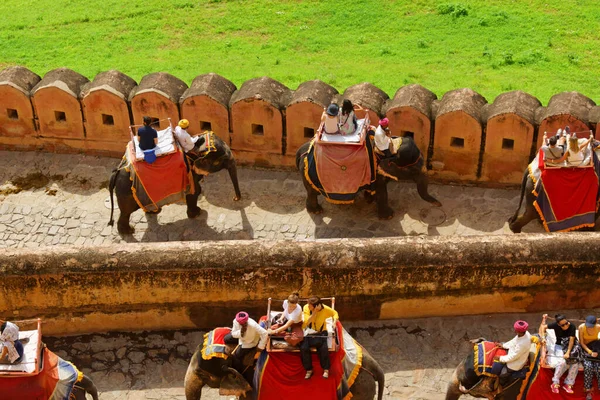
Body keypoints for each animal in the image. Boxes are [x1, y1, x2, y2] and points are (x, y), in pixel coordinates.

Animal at [296, 136, 440, 220]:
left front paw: (369, 199)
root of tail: (301, 150)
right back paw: (316, 211)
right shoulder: (377, 172)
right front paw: (389, 216)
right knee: (311, 193)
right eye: (414, 170)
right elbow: (382, 191)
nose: (439, 204)